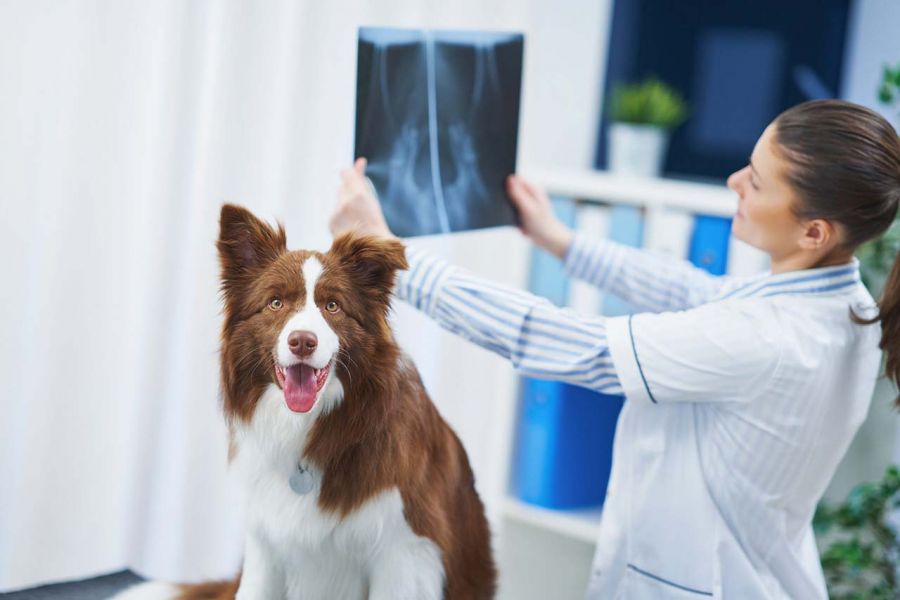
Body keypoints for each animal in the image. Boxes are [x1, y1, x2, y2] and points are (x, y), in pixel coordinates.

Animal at [115, 204, 496, 596]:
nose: (302, 341)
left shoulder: (405, 554)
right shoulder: (266, 544)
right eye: (275, 302)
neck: (307, 427)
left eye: (333, 305)